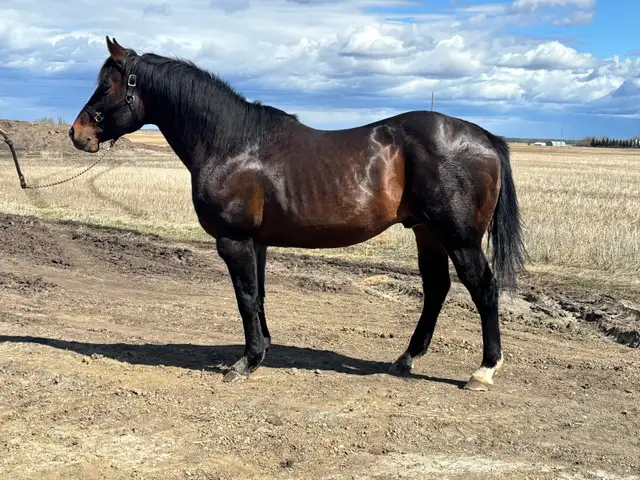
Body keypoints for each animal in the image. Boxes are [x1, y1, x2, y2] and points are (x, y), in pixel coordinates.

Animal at [70, 37, 526, 391]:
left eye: (107, 86)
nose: (78, 134)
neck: (232, 143)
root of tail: (485, 138)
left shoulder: (234, 240)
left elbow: (245, 297)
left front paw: (246, 362)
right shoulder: (256, 242)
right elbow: (258, 296)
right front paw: (262, 351)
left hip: (459, 237)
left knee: (483, 288)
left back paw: (483, 370)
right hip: (427, 232)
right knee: (436, 288)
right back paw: (405, 359)